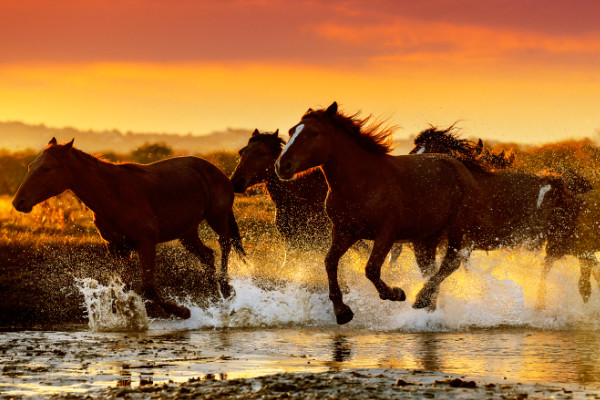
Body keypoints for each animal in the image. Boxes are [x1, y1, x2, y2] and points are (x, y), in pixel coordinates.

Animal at [12, 138, 245, 318]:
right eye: (30, 166)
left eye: (47, 168)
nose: (19, 202)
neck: (113, 195)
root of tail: (219, 173)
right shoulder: (117, 247)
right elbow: (124, 288)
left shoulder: (146, 244)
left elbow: (148, 289)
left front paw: (183, 311)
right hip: (186, 233)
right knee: (208, 256)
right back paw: (218, 300)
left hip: (217, 217)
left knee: (224, 245)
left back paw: (226, 289)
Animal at [276, 101, 488, 324]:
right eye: (291, 131)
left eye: (314, 133)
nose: (282, 166)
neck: (361, 184)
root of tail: (460, 167)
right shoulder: (344, 231)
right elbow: (330, 262)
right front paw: (342, 311)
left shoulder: (386, 234)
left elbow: (371, 269)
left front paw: (396, 293)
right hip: (426, 239)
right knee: (430, 269)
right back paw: (429, 307)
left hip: (457, 229)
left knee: (450, 264)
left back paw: (421, 298)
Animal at [410, 126, 592, 304]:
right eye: (414, 151)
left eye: (429, 155)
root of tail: (559, 182)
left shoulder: (462, 241)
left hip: (557, 242)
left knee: (554, 268)